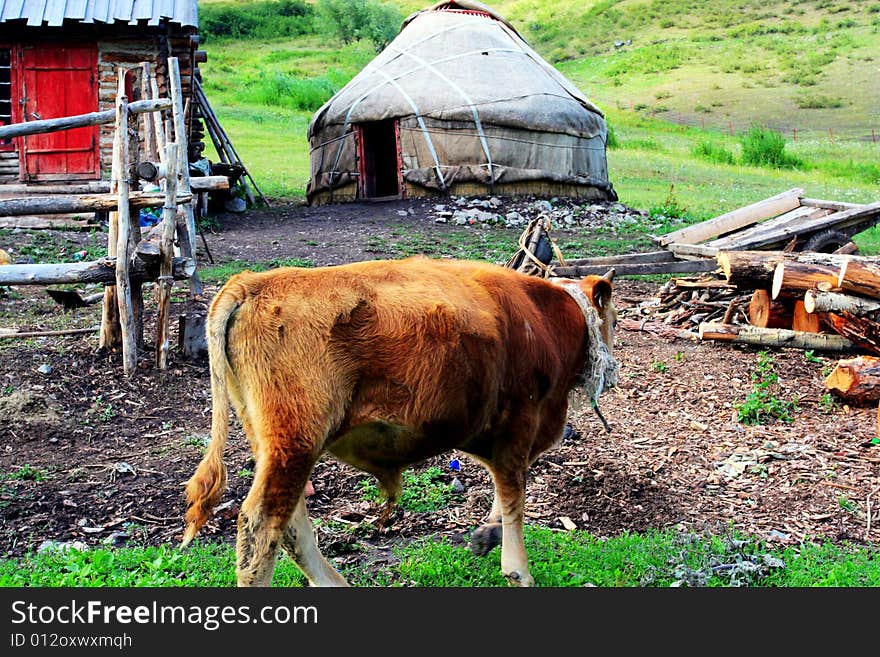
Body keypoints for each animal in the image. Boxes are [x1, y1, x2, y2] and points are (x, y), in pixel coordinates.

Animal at [181, 255, 616, 584]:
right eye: (612, 319)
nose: (612, 370)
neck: (542, 317)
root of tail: (254, 282)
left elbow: (502, 495)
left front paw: (486, 535)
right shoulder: (518, 427)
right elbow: (514, 500)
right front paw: (517, 570)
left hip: (275, 446)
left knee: (291, 526)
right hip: (294, 443)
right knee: (261, 526)